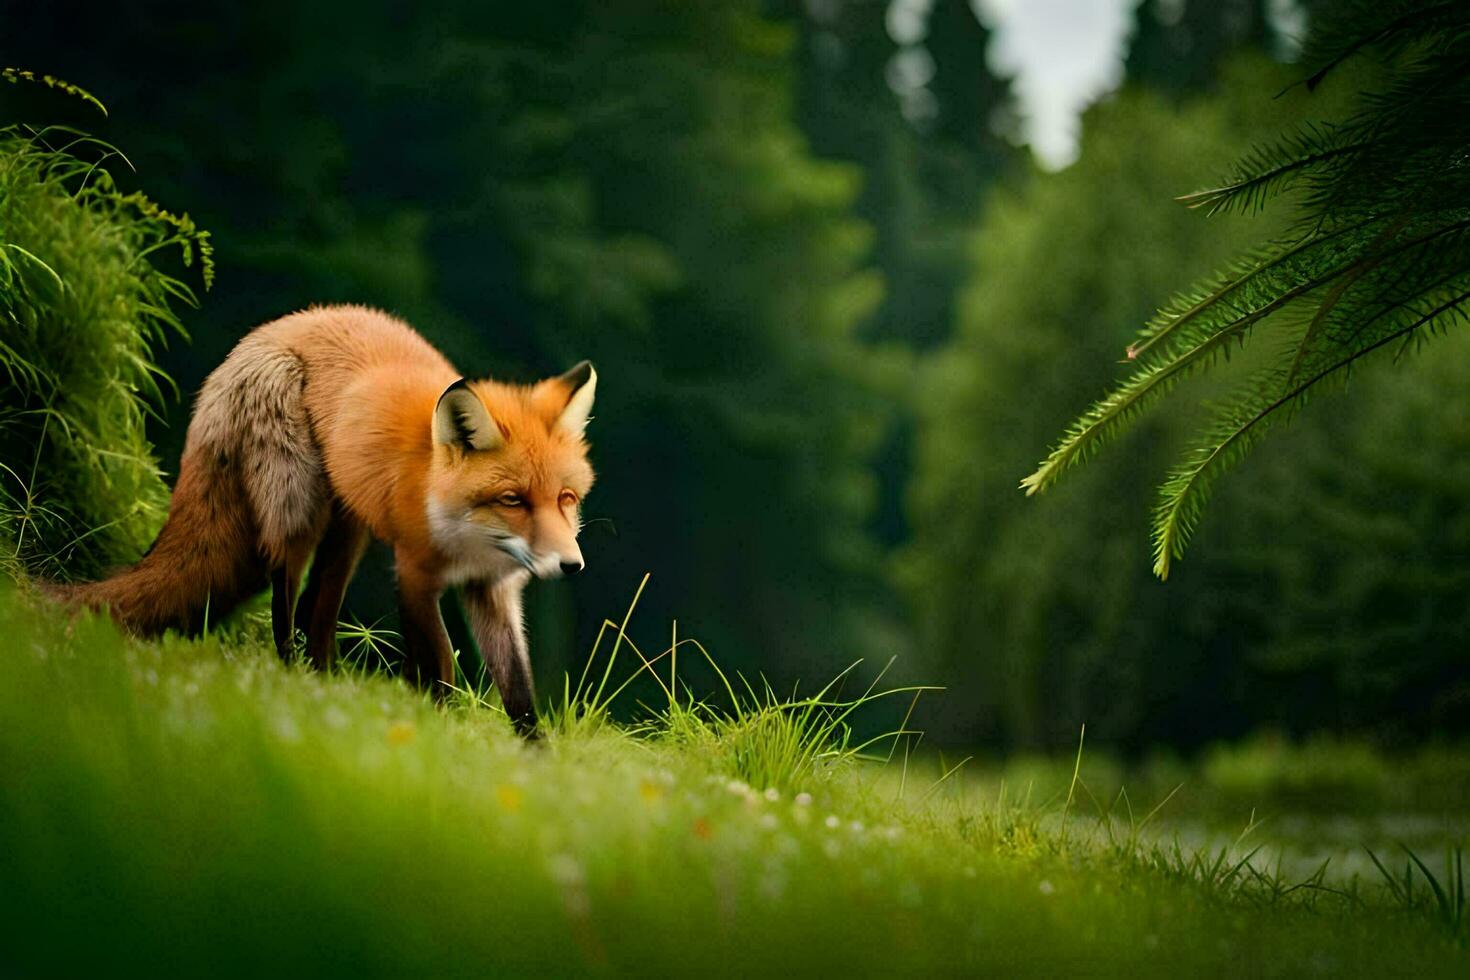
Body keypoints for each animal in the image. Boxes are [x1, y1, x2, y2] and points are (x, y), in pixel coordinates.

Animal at [55, 307, 596, 734]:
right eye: (513, 500)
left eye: (565, 498)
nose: (571, 565)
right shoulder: (413, 573)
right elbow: (439, 662)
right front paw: (438, 730)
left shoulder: (491, 588)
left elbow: (518, 690)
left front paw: (534, 758)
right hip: (298, 502)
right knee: (285, 592)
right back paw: (292, 680)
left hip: (348, 528)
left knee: (317, 607)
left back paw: (325, 686)